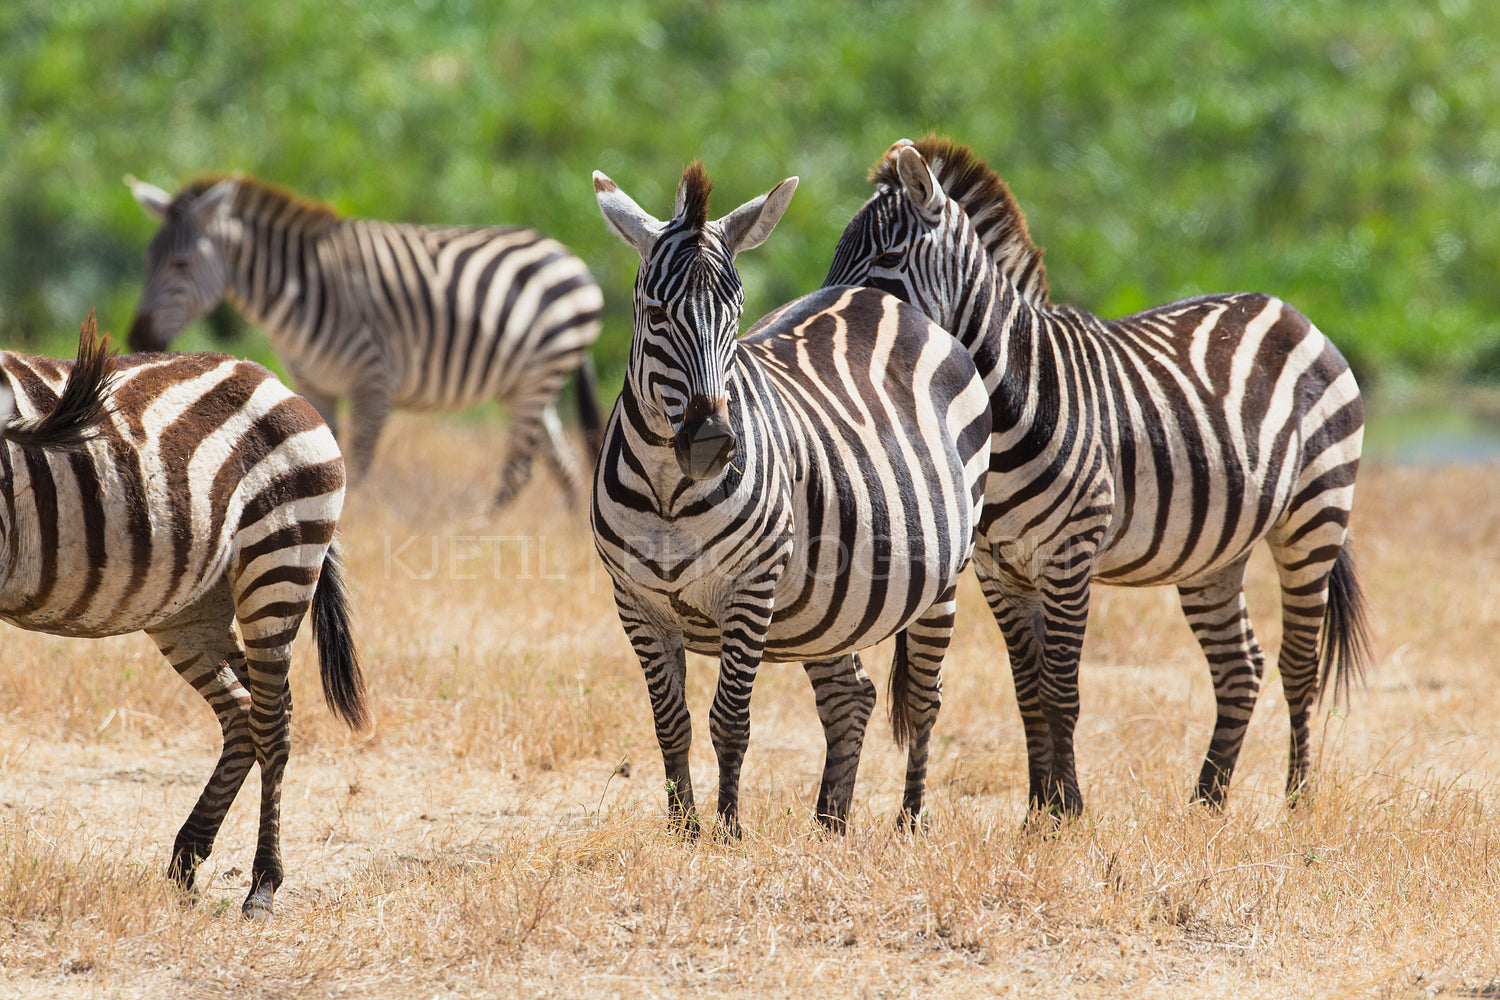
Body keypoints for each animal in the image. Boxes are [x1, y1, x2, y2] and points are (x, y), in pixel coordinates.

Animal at [1, 320, 370, 923]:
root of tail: (270, 378)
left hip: (279, 558)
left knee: (272, 721)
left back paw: (262, 887)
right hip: (192, 608)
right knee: (246, 711)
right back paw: (187, 864)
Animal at [124, 172, 603, 509]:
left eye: (181, 264)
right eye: (147, 260)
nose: (138, 337)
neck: (300, 287)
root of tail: (567, 254)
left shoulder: (372, 381)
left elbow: (360, 464)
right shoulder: (316, 384)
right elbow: (320, 458)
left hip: (542, 374)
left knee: (521, 469)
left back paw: (486, 532)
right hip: (522, 385)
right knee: (563, 464)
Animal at [591, 164, 990, 839]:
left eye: (737, 313)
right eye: (655, 312)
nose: (713, 441)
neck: (669, 490)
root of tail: (886, 299)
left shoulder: (751, 587)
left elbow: (730, 720)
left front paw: (727, 833)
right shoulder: (636, 602)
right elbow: (671, 723)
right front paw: (683, 832)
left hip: (945, 576)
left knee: (924, 698)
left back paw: (909, 822)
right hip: (831, 605)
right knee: (850, 696)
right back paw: (830, 825)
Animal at [822, 134, 1374, 821]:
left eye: (888, 256)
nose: (823, 315)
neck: (1010, 404)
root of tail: (1286, 309)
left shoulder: (1069, 555)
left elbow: (1061, 690)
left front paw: (1067, 811)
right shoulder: (998, 570)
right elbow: (1027, 690)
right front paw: (1037, 811)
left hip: (1315, 513)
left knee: (1299, 664)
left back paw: (1297, 802)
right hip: (1215, 551)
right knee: (1239, 667)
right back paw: (1207, 802)